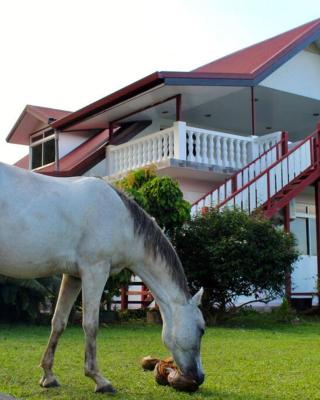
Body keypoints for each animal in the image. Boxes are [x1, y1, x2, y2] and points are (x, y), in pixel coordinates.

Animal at [0, 162, 205, 394]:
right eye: (202, 330)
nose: (199, 377)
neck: (123, 222)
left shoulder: (73, 276)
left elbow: (58, 322)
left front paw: (48, 376)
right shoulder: (95, 271)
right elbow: (91, 324)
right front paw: (99, 379)